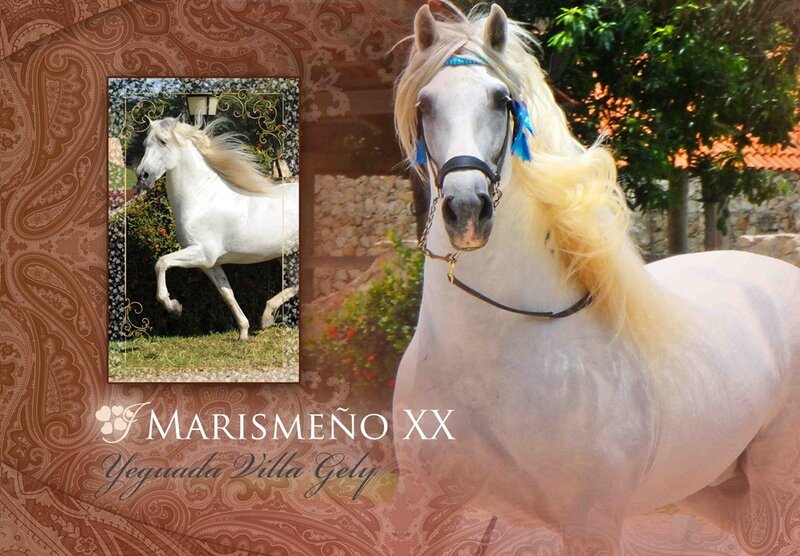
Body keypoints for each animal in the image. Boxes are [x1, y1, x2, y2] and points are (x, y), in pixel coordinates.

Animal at [135, 118, 298, 342]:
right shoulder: (209, 264)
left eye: (163, 141)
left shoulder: (202, 253)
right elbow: (227, 293)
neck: (202, 198)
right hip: (288, 255)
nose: (143, 176)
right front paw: (243, 332)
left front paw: (174, 307)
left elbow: (162, 263)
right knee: (296, 285)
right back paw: (267, 317)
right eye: (145, 144)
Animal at [391, 4, 800, 554]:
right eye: (426, 104)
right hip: (714, 490)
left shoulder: (592, 525)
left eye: (501, 100)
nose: (466, 210)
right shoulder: (423, 506)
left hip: (777, 488)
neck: (488, 354)